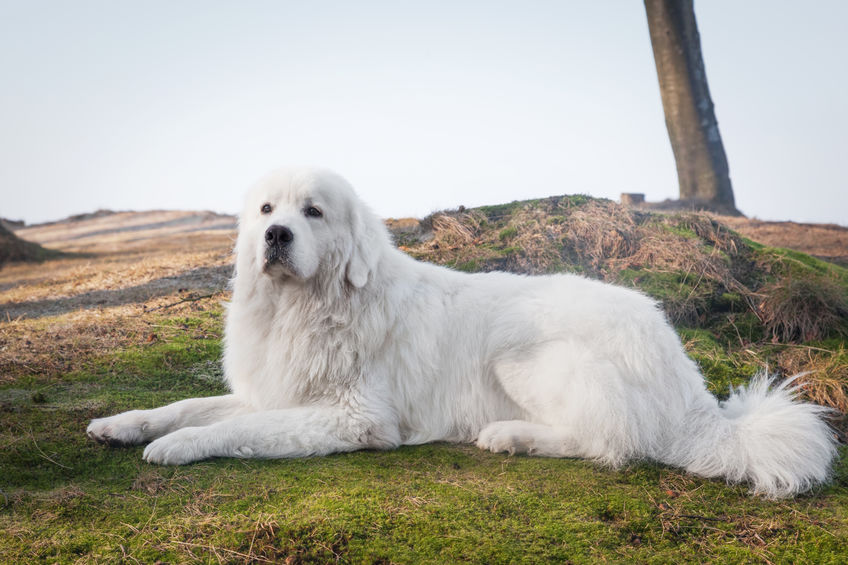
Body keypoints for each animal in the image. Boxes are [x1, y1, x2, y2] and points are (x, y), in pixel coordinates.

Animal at [88, 169, 836, 498]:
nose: (275, 236)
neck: (307, 309)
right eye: (267, 209)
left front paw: (178, 447)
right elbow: (186, 405)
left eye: (313, 212)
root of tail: (692, 387)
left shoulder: (353, 418)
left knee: (612, 442)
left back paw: (512, 436)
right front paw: (122, 424)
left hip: (522, 358)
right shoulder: (273, 390)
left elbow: (234, 429)